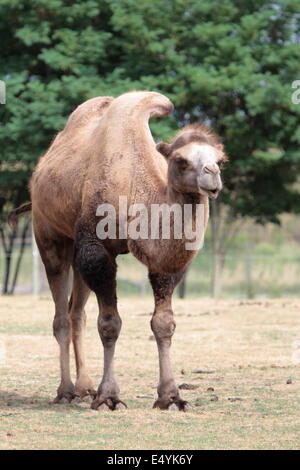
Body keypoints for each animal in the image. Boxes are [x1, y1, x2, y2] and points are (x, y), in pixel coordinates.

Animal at [9, 90, 229, 410]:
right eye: (181, 160)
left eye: (220, 160)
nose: (212, 177)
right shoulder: (96, 246)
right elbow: (110, 324)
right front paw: (108, 397)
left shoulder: (160, 263)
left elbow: (163, 323)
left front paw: (171, 396)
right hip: (49, 235)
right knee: (61, 315)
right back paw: (66, 391)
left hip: (77, 249)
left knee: (77, 314)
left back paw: (84, 388)